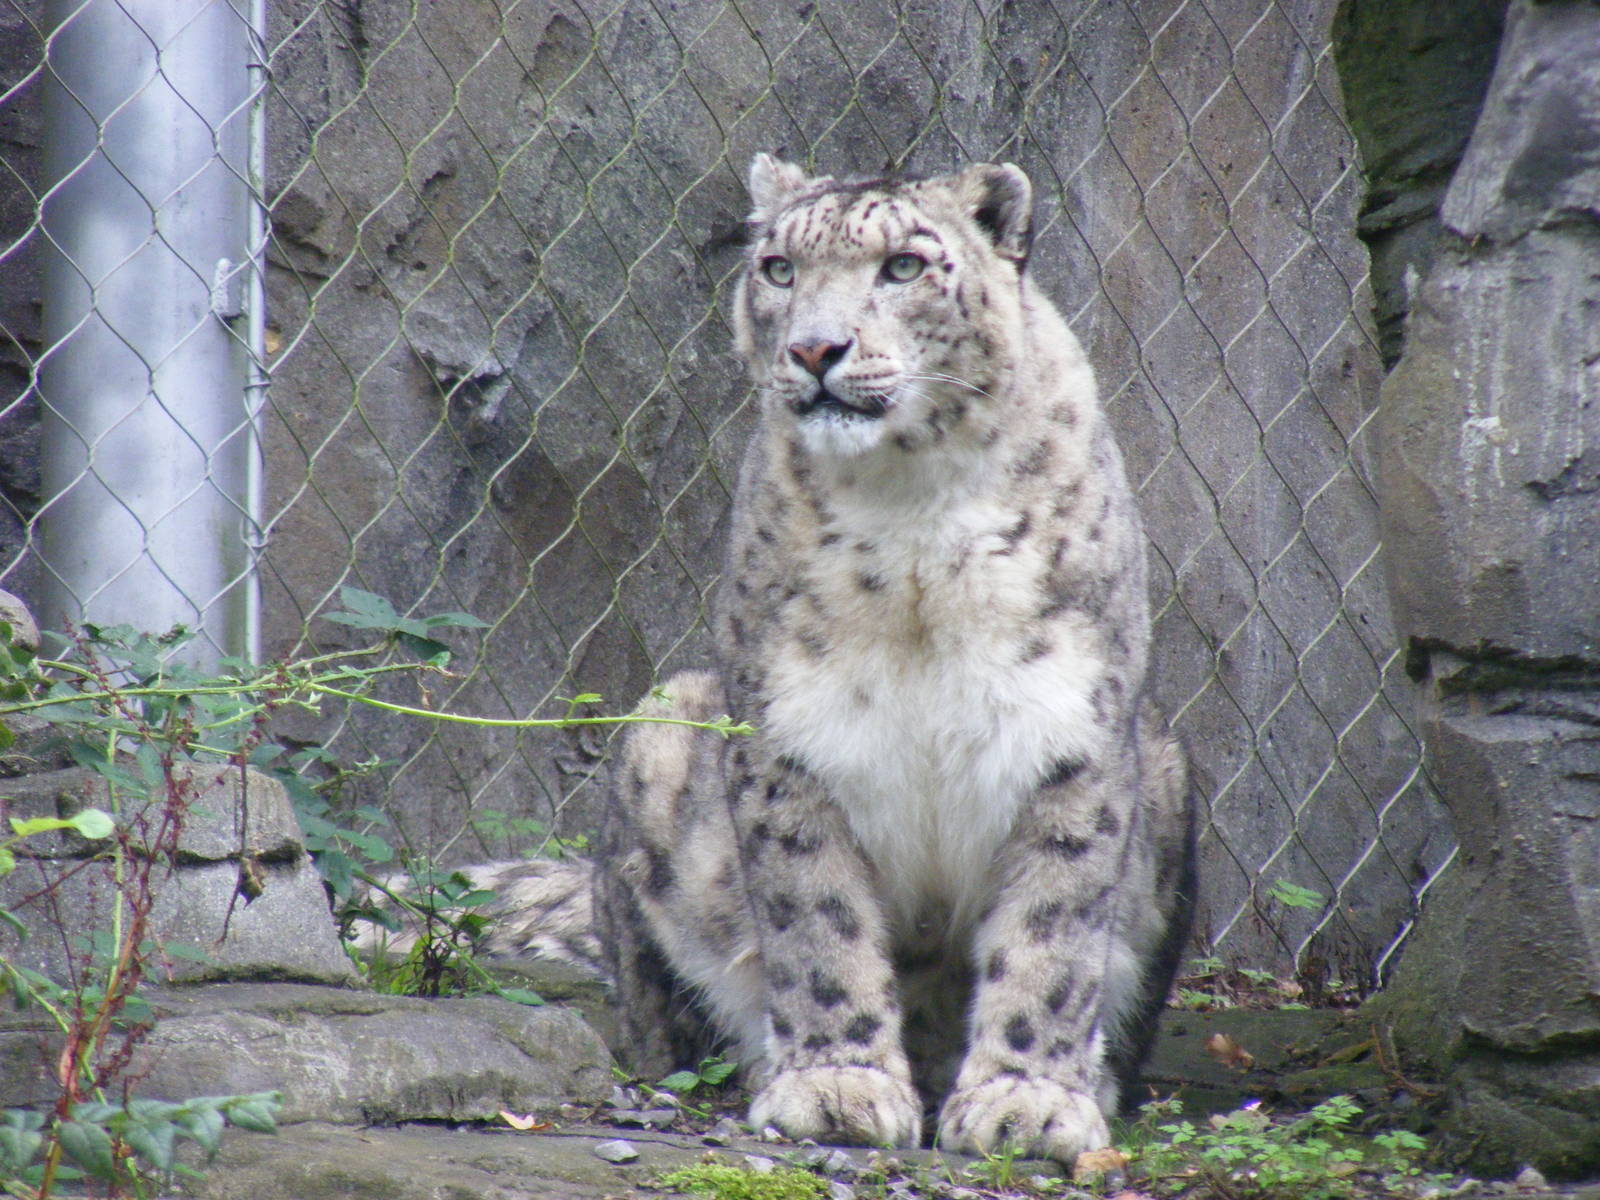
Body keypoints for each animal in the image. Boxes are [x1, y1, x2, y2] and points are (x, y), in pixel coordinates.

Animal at [459, 156, 1195, 1164]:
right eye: (778, 268)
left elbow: (1054, 928)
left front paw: (1026, 1099)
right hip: (662, 729)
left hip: (1167, 766)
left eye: (903, 265)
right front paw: (837, 1085)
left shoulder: (1071, 729)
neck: (914, 509)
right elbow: (818, 919)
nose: (815, 349)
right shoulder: (788, 734)